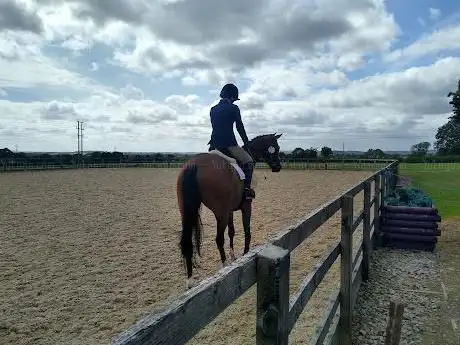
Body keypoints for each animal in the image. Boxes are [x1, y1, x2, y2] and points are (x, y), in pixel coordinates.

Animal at [176, 132, 284, 288]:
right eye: (276, 148)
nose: (278, 167)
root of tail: (195, 164)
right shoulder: (246, 206)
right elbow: (247, 231)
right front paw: (245, 254)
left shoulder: (230, 210)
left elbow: (232, 232)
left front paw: (233, 255)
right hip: (220, 214)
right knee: (218, 239)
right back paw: (224, 265)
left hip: (187, 213)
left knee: (187, 243)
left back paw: (190, 281)